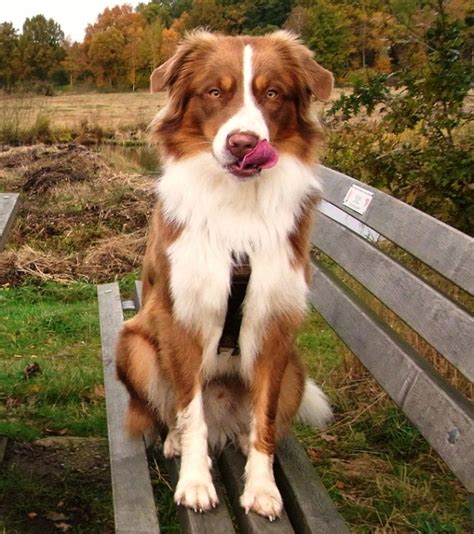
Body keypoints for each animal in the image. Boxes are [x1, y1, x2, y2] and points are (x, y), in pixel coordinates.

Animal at [115, 30, 334, 524]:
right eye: (215, 92)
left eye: (272, 94)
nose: (243, 143)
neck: (238, 206)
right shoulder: (182, 317)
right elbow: (189, 411)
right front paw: (196, 482)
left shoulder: (276, 325)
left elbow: (265, 417)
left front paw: (263, 488)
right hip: (134, 346)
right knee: (172, 409)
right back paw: (176, 442)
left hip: (296, 370)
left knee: (253, 421)